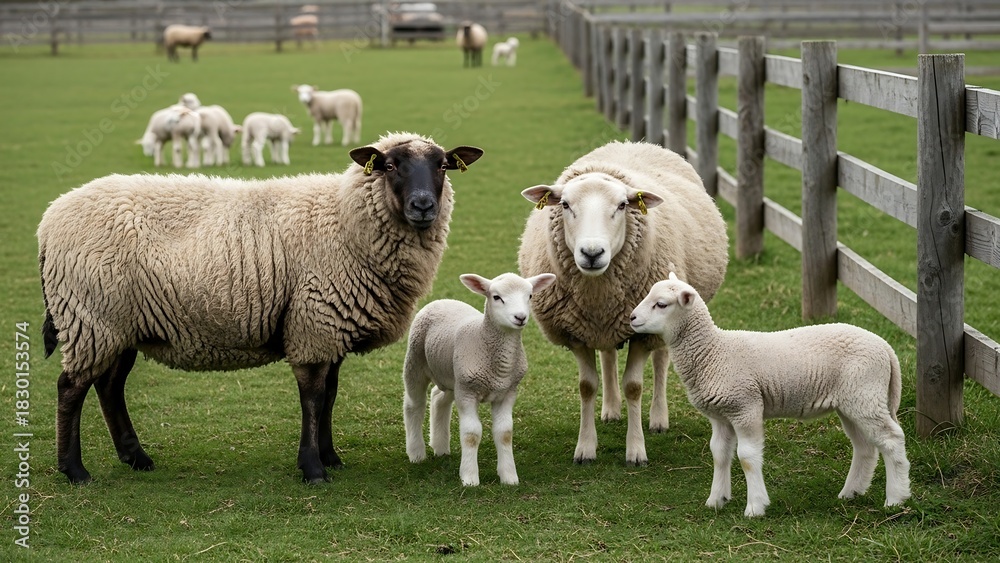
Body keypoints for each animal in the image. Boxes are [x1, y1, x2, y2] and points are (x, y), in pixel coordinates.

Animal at [38, 132, 485, 485]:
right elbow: (313, 398)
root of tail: (49, 219)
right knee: (71, 388)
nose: (423, 205)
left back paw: (136, 458)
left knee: (109, 386)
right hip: (90, 316)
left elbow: (331, 394)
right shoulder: (313, 322)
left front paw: (330, 457)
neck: (344, 218)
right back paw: (74, 471)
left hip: (117, 323)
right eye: (390, 165)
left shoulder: (331, 326)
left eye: (443, 166)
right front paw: (312, 468)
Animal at [403, 272, 556, 486]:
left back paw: (440, 447)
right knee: (414, 405)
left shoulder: (507, 392)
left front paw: (509, 477)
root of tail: (442, 300)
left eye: (530, 296)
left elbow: (505, 433)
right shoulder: (467, 393)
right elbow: (471, 434)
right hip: (416, 361)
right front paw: (469, 478)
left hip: (452, 377)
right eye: (496, 297)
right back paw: (416, 453)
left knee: (439, 399)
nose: (520, 317)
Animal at [517, 140, 729, 466]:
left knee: (661, 360)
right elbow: (587, 387)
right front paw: (585, 448)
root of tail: (633, 143)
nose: (592, 253)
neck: (597, 293)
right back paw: (611, 410)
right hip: (608, 324)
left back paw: (658, 418)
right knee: (607, 355)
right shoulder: (575, 334)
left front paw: (636, 450)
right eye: (564, 204)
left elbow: (634, 387)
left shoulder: (642, 334)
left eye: (621, 206)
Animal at [629, 273, 912, 517]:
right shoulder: (721, 416)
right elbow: (719, 454)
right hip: (852, 402)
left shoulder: (745, 406)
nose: (631, 318)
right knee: (865, 447)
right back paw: (851, 492)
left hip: (865, 395)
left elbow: (747, 458)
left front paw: (755, 507)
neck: (713, 351)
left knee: (891, 440)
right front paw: (716, 500)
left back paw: (895, 498)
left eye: (661, 304)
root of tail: (885, 347)